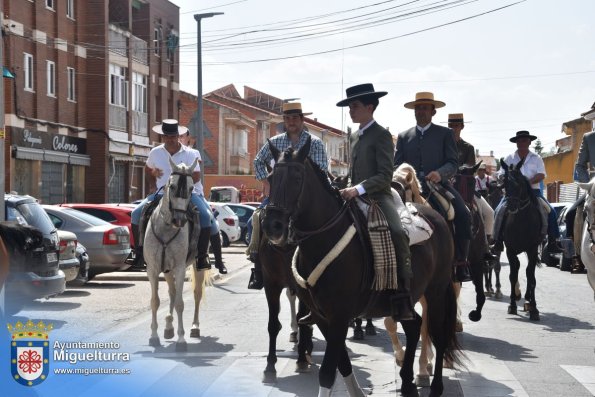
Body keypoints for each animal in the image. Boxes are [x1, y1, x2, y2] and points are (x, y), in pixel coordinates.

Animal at [144, 158, 210, 350]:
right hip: (167, 269)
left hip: (197, 266)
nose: (179, 220)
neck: (166, 228)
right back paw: (168, 326)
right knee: (172, 292)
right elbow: (155, 301)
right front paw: (154, 336)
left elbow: (181, 303)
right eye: (172, 186)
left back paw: (194, 327)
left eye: (191, 188)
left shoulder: (180, 268)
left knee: (196, 294)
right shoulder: (153, 269)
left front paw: (181, 340)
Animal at [264, 136, 464, 396]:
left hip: (436, 292)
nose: (273, 226)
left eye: (297, 177)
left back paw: (434, 385)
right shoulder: (322, 317)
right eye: (270, 178)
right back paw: (407, 382)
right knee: (414, 326)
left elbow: (328, 372)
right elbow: (342, 362)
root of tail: (437, 217)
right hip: (408, 300)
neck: (325, 237)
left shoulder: (339, 316)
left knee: (437, 335)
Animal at [500, 157, 544, 318]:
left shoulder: (532, 249)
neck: (521, 221)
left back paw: (528, 300)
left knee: (529, 273)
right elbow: (513, 275)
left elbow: (531, 277)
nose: (511, 206)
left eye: (519, 183)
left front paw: (534, 308)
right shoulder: (510, 250)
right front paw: (512, 305)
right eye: (504, 183)